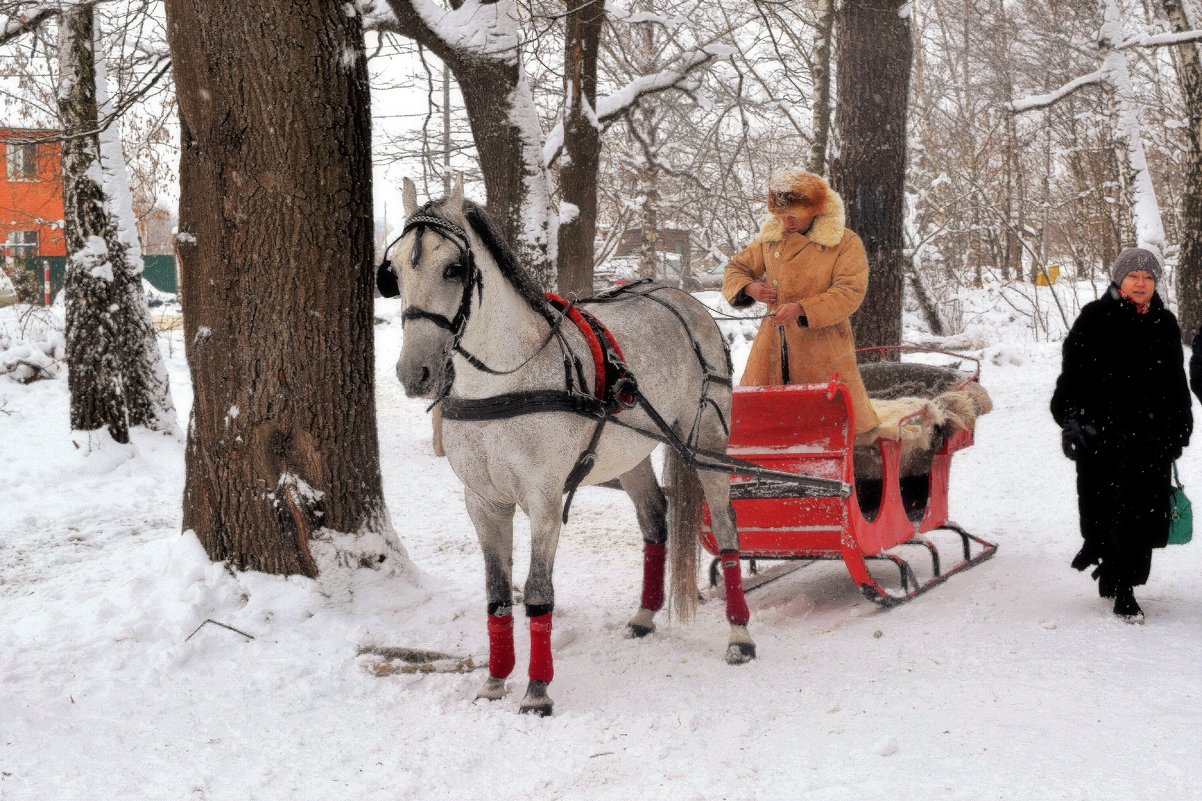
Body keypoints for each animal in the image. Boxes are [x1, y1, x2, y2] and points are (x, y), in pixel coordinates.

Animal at [391, 178, 750, 712]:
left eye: (453, 268)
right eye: (393, 270)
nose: (414, 373)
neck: (505, 380)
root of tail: (683, 299)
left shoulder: (541, 499)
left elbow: (538, 591)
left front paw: (537, 691)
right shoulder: (483, 501)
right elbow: (498, 593)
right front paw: (495, 680)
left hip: (705, 441)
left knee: (726, 528)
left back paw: (740, 635)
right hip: (628, 453)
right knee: (654, 521)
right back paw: (644, 615)